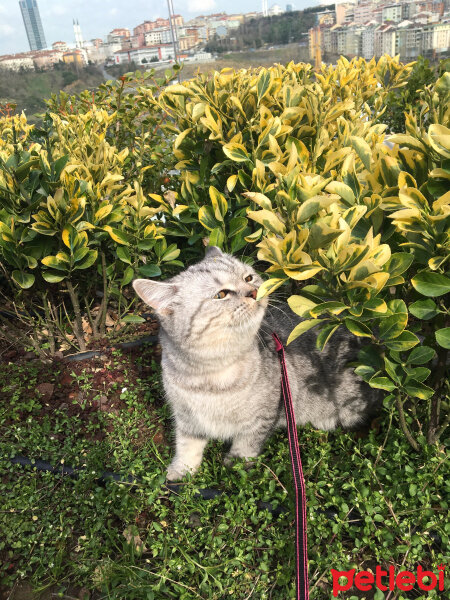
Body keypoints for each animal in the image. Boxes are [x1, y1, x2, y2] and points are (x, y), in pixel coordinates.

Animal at [132, 246, 378, 480]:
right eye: (221, 294)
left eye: (248, 278)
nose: (253, 292)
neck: (211, 376)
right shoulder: (187, 418)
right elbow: (187, 445)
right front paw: (181, 471)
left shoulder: (264, 416)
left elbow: (246, 445)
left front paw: (236, 464)